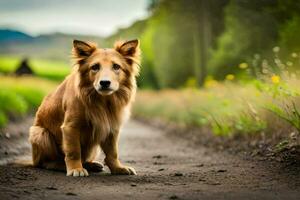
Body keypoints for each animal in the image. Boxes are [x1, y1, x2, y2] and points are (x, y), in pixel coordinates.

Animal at [28, 39, 141, 177]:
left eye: (116, 66)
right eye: (95, 67)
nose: (104, 83)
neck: (102, 101)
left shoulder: (111, 127)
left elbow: (113, 152)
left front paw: (118, 168)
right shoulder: (70, 127)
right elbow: (74, 151)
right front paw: (76, 169)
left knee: (86, 159)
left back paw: (92, 165)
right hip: (39, 133)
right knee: (46, 162)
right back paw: (61, 166)